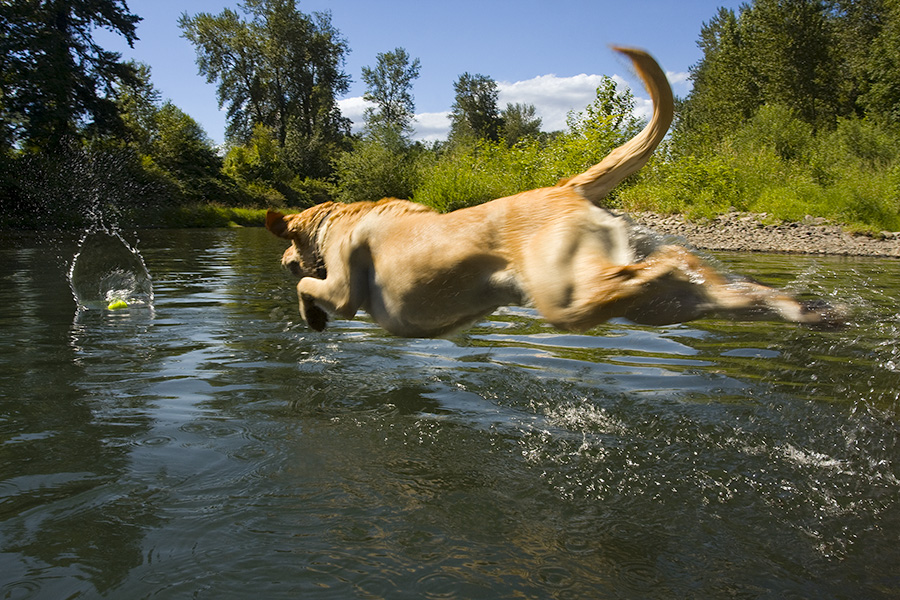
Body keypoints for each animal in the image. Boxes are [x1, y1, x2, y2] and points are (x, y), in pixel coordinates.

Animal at [264, 47, 840, 338]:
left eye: (289, 245)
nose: (284, 261)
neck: (338, 220)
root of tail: (567, 188)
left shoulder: (344, 291)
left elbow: (310, 290)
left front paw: (309, 315)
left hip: (565, 294)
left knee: (654, 270)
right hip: (656, 305)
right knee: (707, 283)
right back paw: (808, 309)